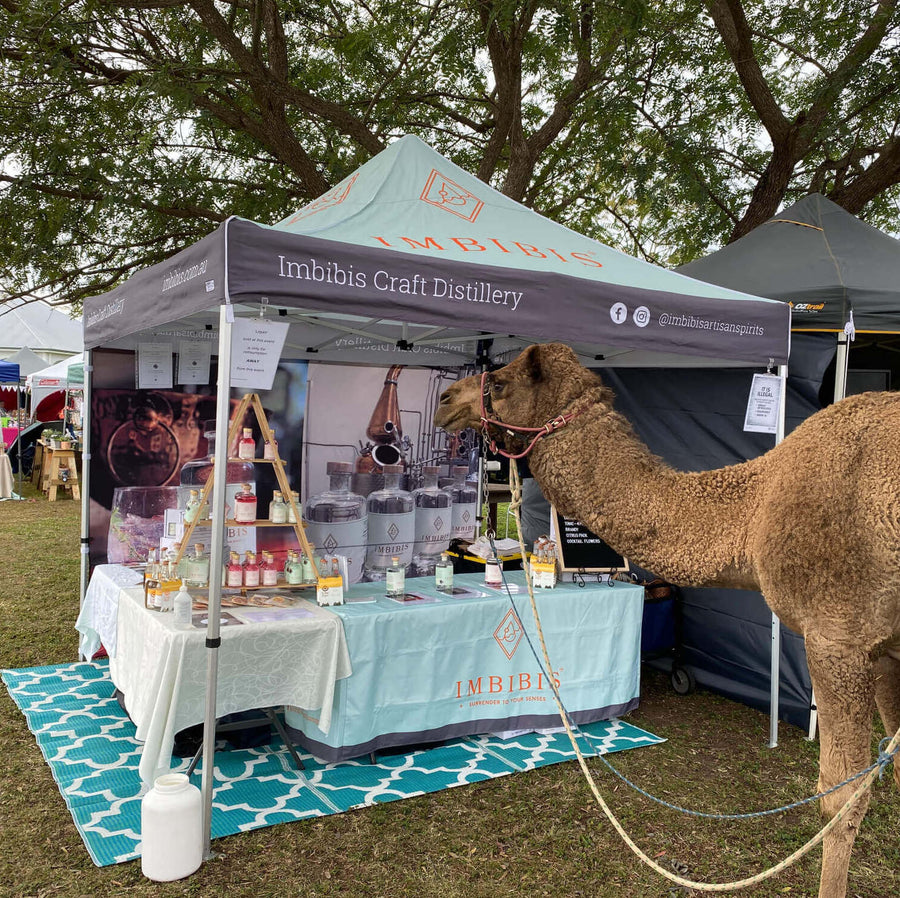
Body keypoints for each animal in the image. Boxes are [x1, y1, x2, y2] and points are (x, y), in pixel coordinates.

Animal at [434, 342, 900, 898]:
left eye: (501, 382)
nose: (444, 400)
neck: (757, 510)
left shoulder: (839, 636)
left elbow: (841, 797)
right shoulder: (888, 648)